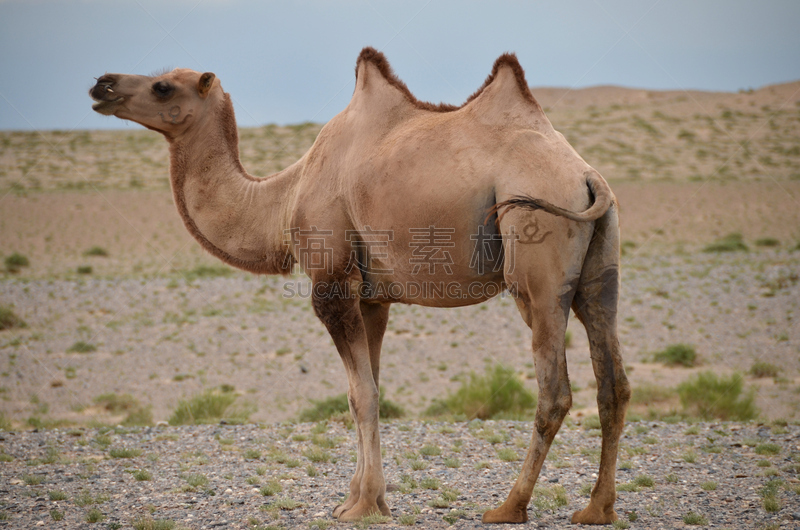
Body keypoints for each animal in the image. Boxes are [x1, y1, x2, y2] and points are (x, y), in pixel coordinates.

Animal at [90, 46, 632, 524]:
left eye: (162, 86)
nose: (102, 85)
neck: (284, 197)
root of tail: (586, 176)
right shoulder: (373, 299)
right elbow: (366, 387)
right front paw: (359, 498)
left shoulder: (332, 283)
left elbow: (361, 395)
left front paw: (363, 505)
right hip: (599, 272)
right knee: (613, 381)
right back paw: (597, 510)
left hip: (534, 260)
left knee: (554, 389)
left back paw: (508, 507)